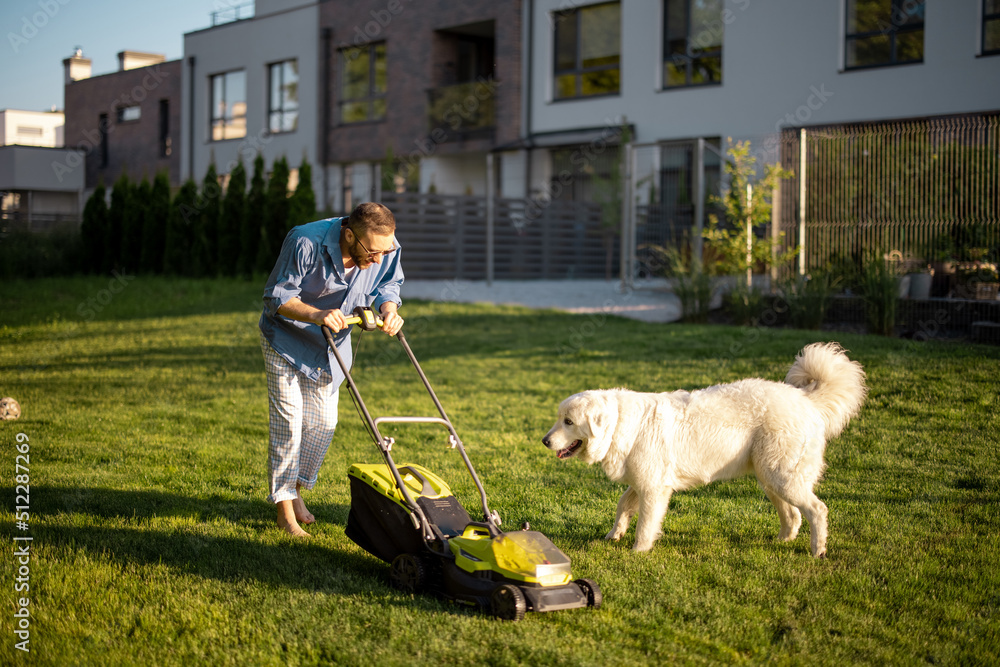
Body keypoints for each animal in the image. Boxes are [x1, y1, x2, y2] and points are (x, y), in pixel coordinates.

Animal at [544, 344, 864, 560]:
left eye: (568, 422)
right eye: (559, 418)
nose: (545, 441)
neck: (621, 425)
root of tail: (806, 399)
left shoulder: (654, 489)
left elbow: (646, 523)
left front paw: (639, 551)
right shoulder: (642, 481)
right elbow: (623, 505)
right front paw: (614, 535)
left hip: (782, 477)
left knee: (817, 510)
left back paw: (818, 550)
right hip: (771, 478)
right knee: (793, 514)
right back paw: (782, 541)